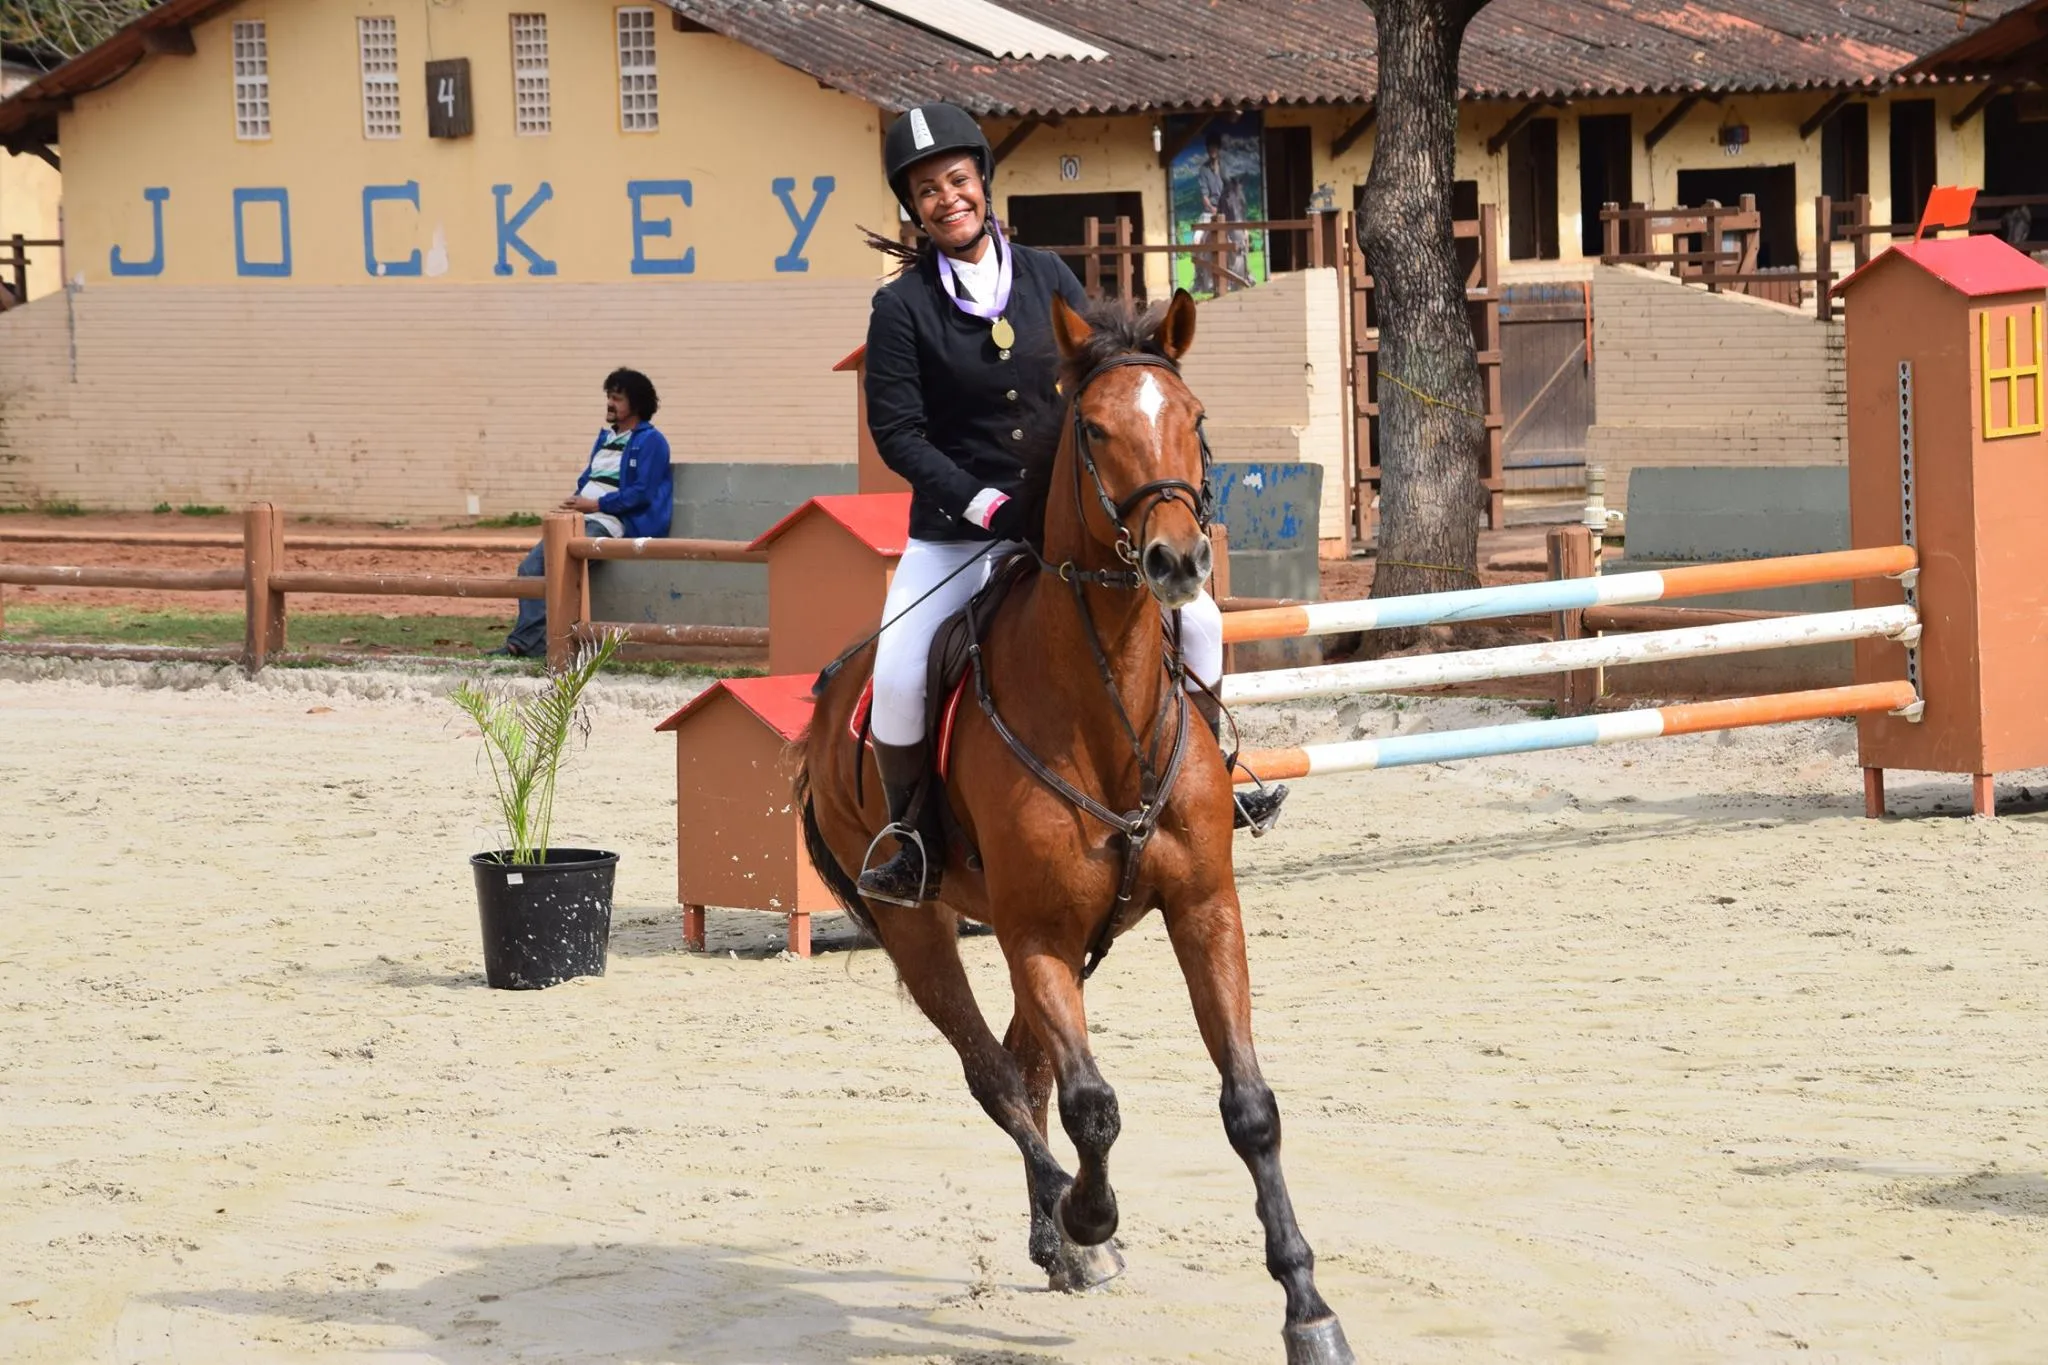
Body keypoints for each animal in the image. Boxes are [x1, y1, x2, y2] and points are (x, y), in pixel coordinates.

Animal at [790, 294, 1351, 1358]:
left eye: (1195, 417)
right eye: (1092, 429)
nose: (1178, 560)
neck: (1106, 709)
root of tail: (823, 708)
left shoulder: (1202, 908)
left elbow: (1250, 1108)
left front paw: (1309, 1305)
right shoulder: (1038, 932)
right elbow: (1094, 1105)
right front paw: (1090, 1217)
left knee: (1022, 1062)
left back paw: (1056, 1237)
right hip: (926, 927)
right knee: (997, 1075)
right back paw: (1068, 1226)